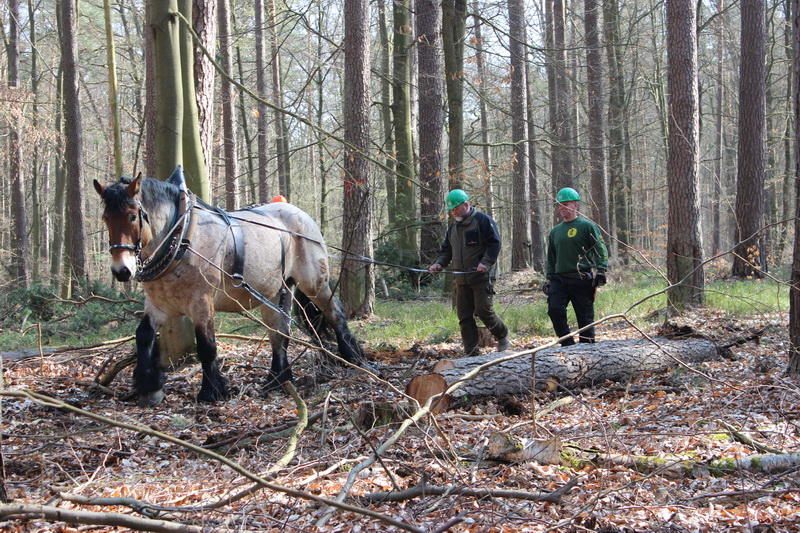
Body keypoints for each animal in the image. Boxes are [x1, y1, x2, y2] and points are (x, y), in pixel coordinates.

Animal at [94, 166, 366, 407]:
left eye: (132, 216)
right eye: (106, 219)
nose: (121, 270)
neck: (181, 238)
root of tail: (299, 213)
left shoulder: (201, 302)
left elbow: (206, 345)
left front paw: (211, 391)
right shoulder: (158, 305)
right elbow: (143, 335)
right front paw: (149, 388)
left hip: (313, 282)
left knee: (334, 312)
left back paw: (353, 357)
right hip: (276, 291)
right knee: (279, 331)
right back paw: (277, 380)